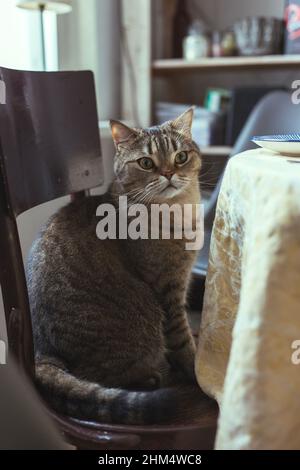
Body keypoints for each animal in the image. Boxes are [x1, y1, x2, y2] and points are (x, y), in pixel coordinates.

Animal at [25, 108, 205, 424]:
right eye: (146, 163)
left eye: (181, 157)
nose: (169, 173)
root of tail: (41, 353)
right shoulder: (169, 289)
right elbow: (182, 340)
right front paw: (194, 370)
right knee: (97, 377)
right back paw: (149, 378)